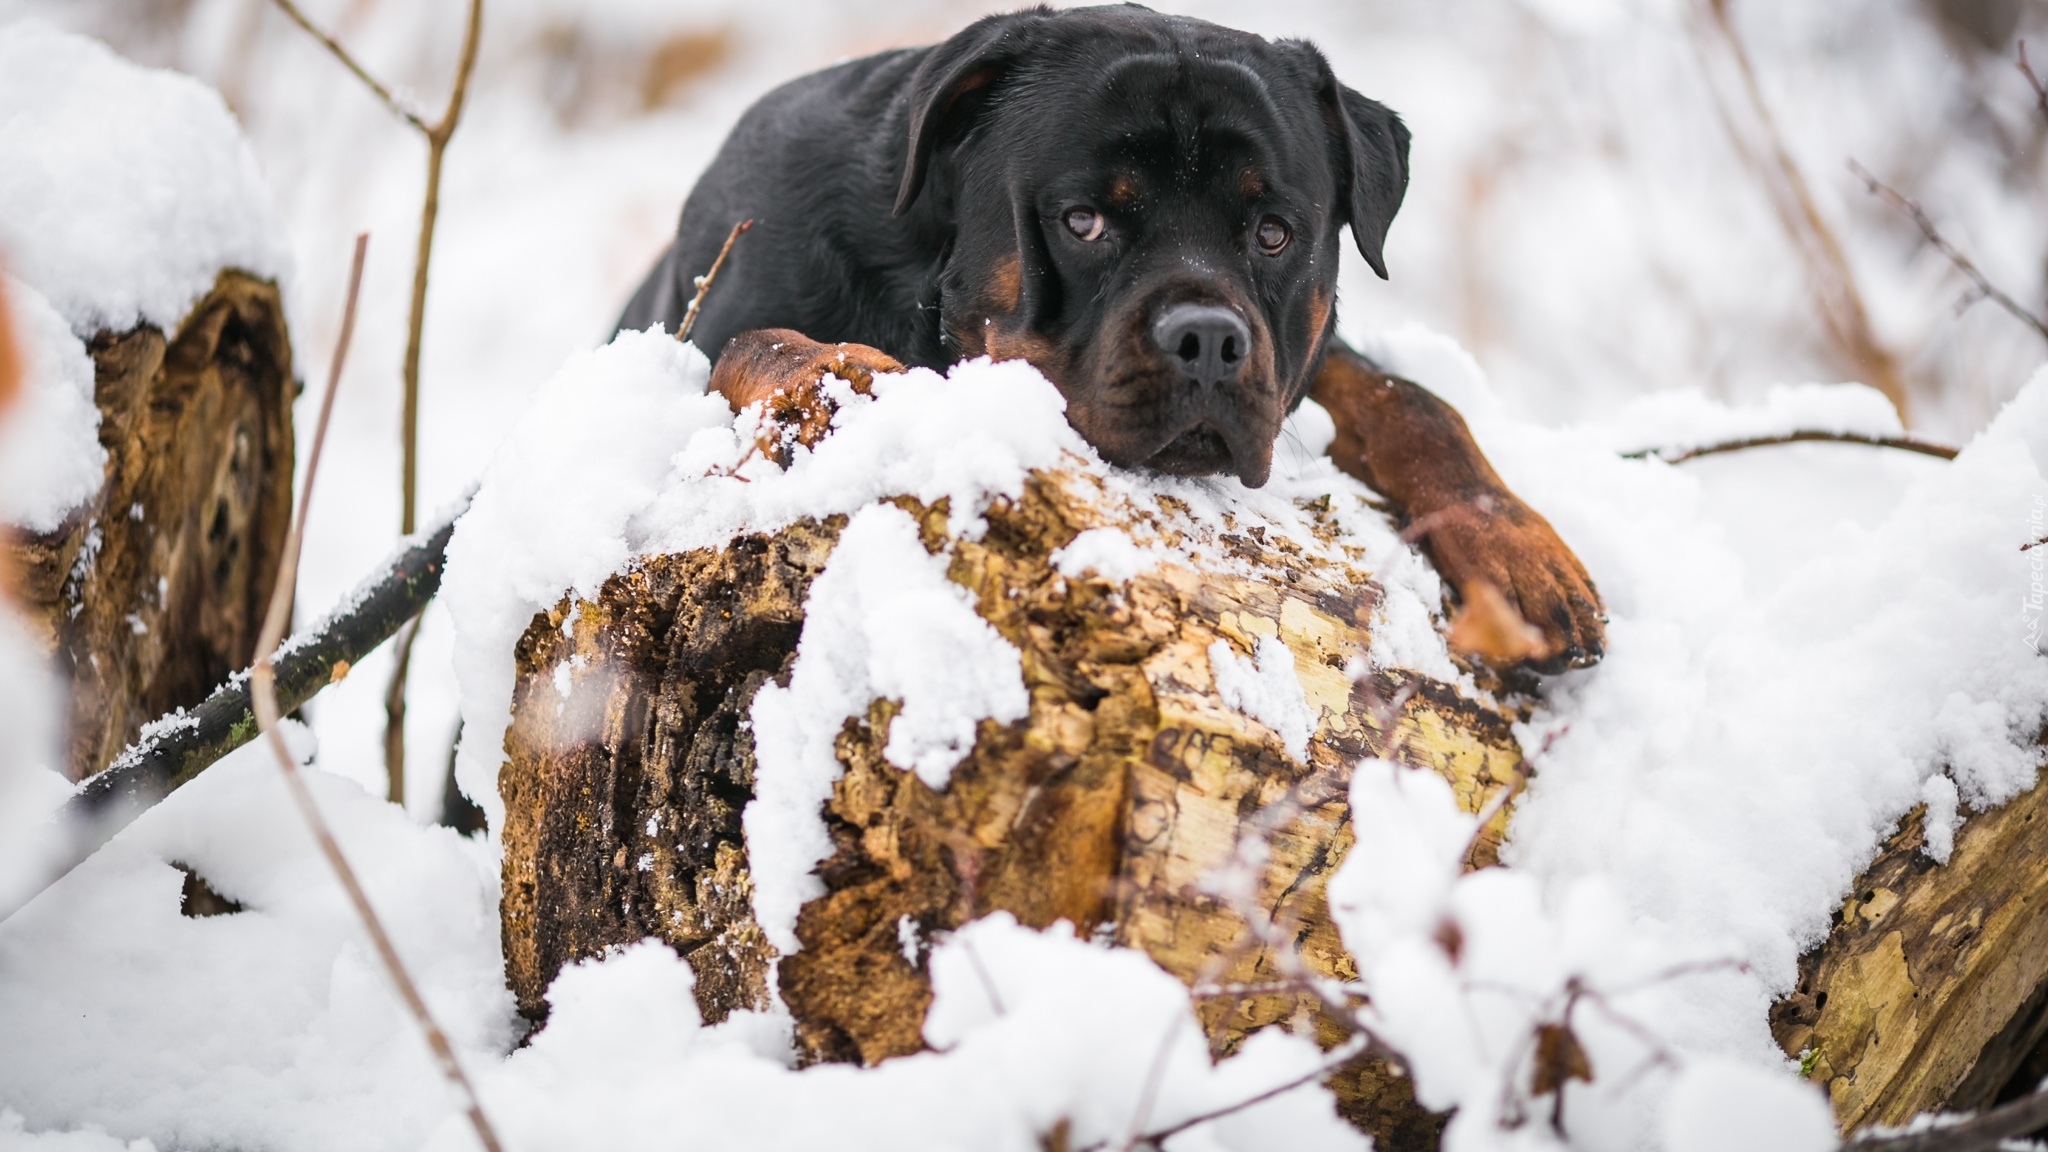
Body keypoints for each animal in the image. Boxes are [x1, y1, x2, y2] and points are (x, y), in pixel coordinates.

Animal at [614, 4, 1605, 664]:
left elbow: (1410, 397)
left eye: (1273, 232)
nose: (1208, 338)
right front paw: (844, 373)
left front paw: (1517, 546)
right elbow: (758, 342)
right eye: (1084, 221)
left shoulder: (1299, 354)